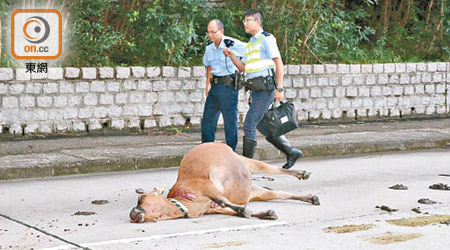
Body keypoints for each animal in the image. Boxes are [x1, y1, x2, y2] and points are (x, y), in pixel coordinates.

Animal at [130, 143, 320, 223]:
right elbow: (233, 209)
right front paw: (266, 213)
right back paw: (310, 197)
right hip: (256, 191)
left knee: (272, 169)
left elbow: (223, 200)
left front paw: (246, 210)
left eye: (141, 198)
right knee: (278, 193)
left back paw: (301, 173)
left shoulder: (207, 186)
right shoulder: (213, 208)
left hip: (247, 161)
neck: (187, 202)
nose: (133, 213)